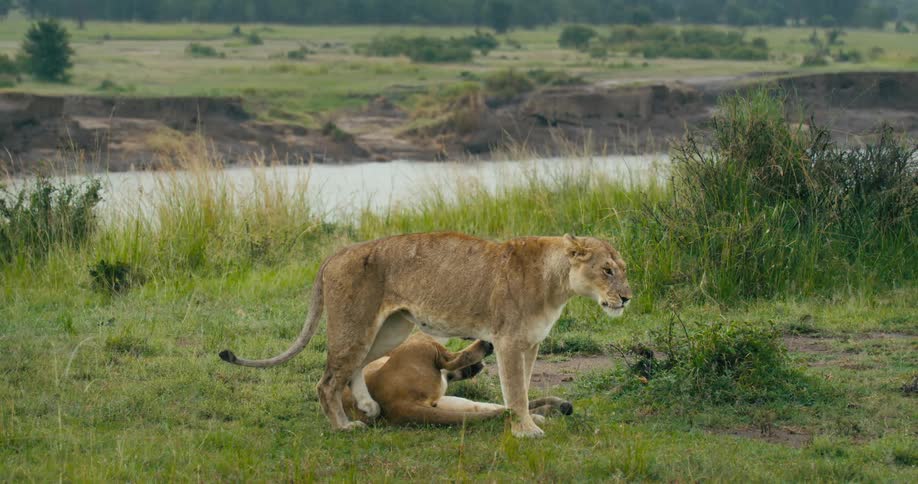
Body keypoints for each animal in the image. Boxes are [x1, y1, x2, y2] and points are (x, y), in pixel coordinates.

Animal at [219, 232, 631, 437]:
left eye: (623, 269)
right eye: (607, 270)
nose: (627, 297)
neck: (558, 285)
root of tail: (339, 252)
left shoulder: (530, 343)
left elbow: (524, 388)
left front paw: (531, 422)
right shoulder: (510, 342)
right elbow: (515, 391)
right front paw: (526, 431)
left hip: (390, 329)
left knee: (355, 368)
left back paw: (368, 406)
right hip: (355, 326)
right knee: (327, 381)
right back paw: (344, 426)